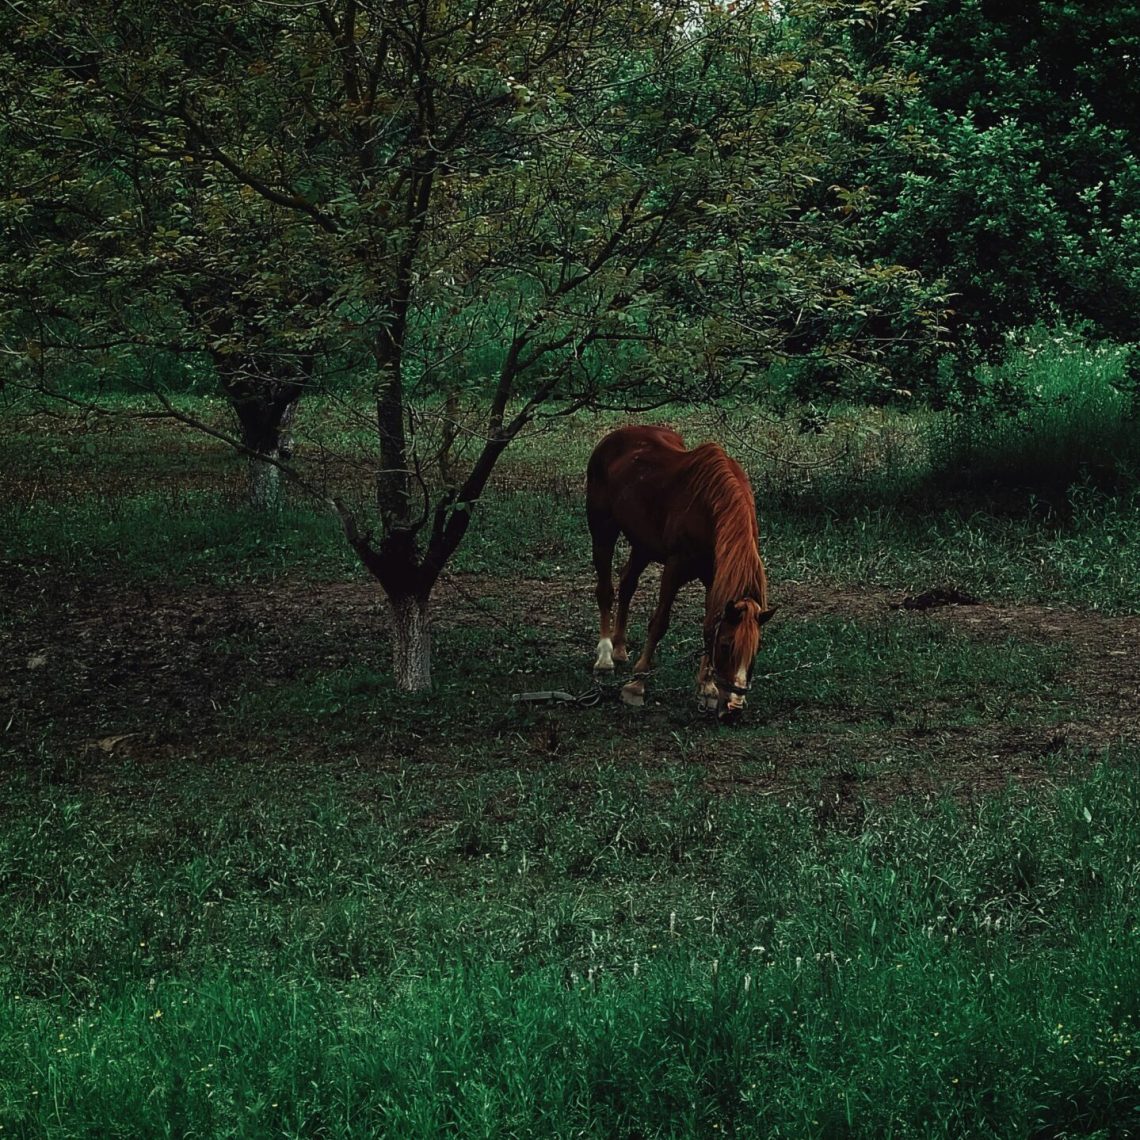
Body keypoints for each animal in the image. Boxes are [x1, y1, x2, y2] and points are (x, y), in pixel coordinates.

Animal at [588, 424, 775, 715]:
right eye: (726, 646)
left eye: (756, 649)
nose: (734, 706)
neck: (711, 507)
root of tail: (614, 437)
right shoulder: (675, 568)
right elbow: (659, 624)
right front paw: (636, 685)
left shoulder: (713, 577)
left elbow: (709, 625)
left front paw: (707, 689)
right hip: (602, 531)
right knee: (606, 590)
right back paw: (605, 657)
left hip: (643, 544)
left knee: (628, 582)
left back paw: (619, 649)